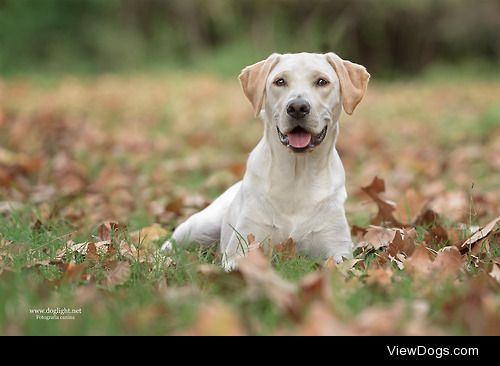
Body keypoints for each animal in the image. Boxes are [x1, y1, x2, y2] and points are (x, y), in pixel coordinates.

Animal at [162, 51, 370, 270]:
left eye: (322, 81)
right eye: (280, 81)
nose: (297, 107)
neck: (298, 175)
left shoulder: (338, 251)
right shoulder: (243, 245)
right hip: (199, 226)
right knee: (171, 243)